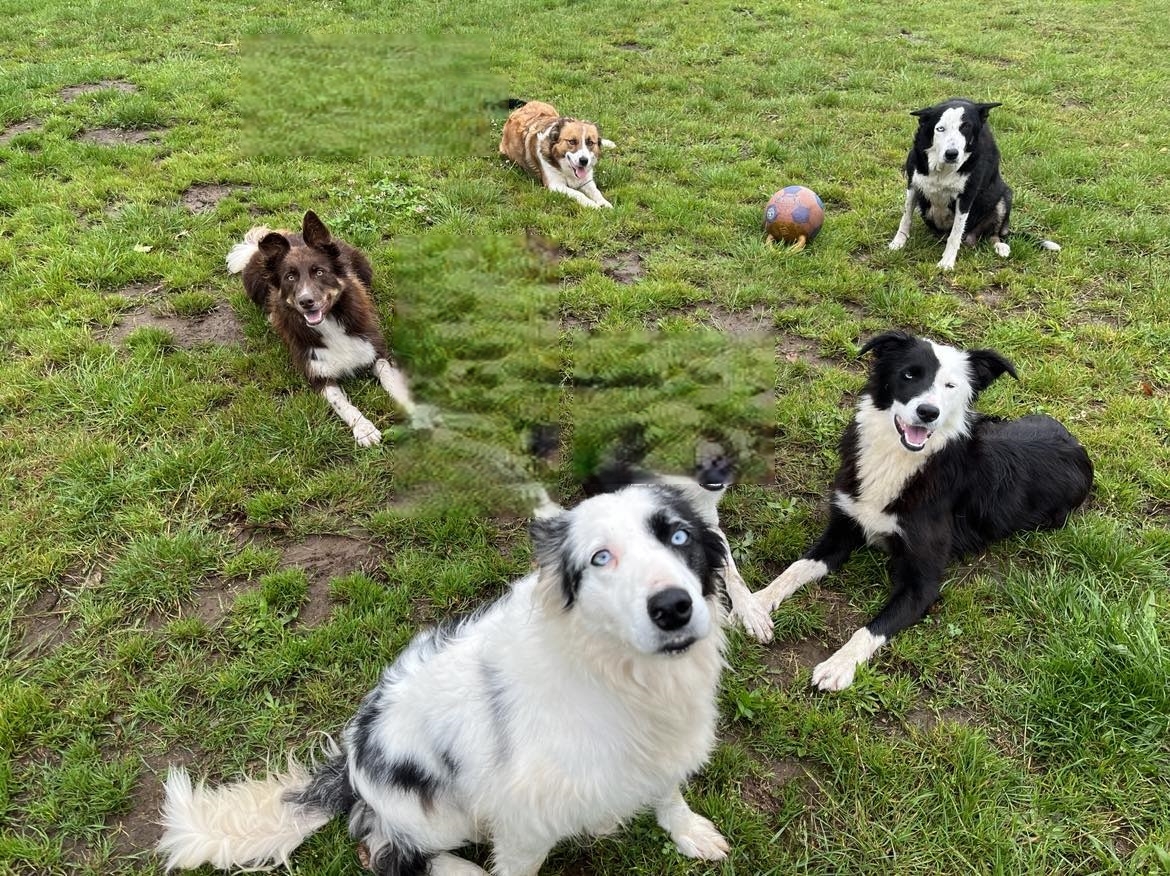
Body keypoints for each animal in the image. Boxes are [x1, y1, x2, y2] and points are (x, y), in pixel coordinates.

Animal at [155, 481, 739, 870]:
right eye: (600, 558)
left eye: (679, 536)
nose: (672, 608)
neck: (617, 672)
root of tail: (350, 764)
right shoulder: (524, 823)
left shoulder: (663, 748)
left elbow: (668, 793)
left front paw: (690, 832)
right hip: (436, 815)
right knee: (382, 848)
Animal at [753, 327, 1090, 692]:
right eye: (910, 374)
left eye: (951, 386)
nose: (929, 412)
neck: (898, 460)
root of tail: (1074, 441)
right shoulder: (842, 529)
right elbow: (795, 568)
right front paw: (754, 605)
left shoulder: (923, 582)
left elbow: (871, 628)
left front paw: (838, 665)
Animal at [884, 98, 1062, 270]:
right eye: (940, 129)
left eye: (966, 127)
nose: (951, 154)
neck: (943, 169)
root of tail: (973, 236)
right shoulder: (913, 185)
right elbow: (906, 218)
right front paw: (897, 243)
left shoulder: (966, 197)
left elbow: (955, 234)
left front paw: (947, 262)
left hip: (1005, 197)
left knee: (994, 235)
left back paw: (1001, 247)